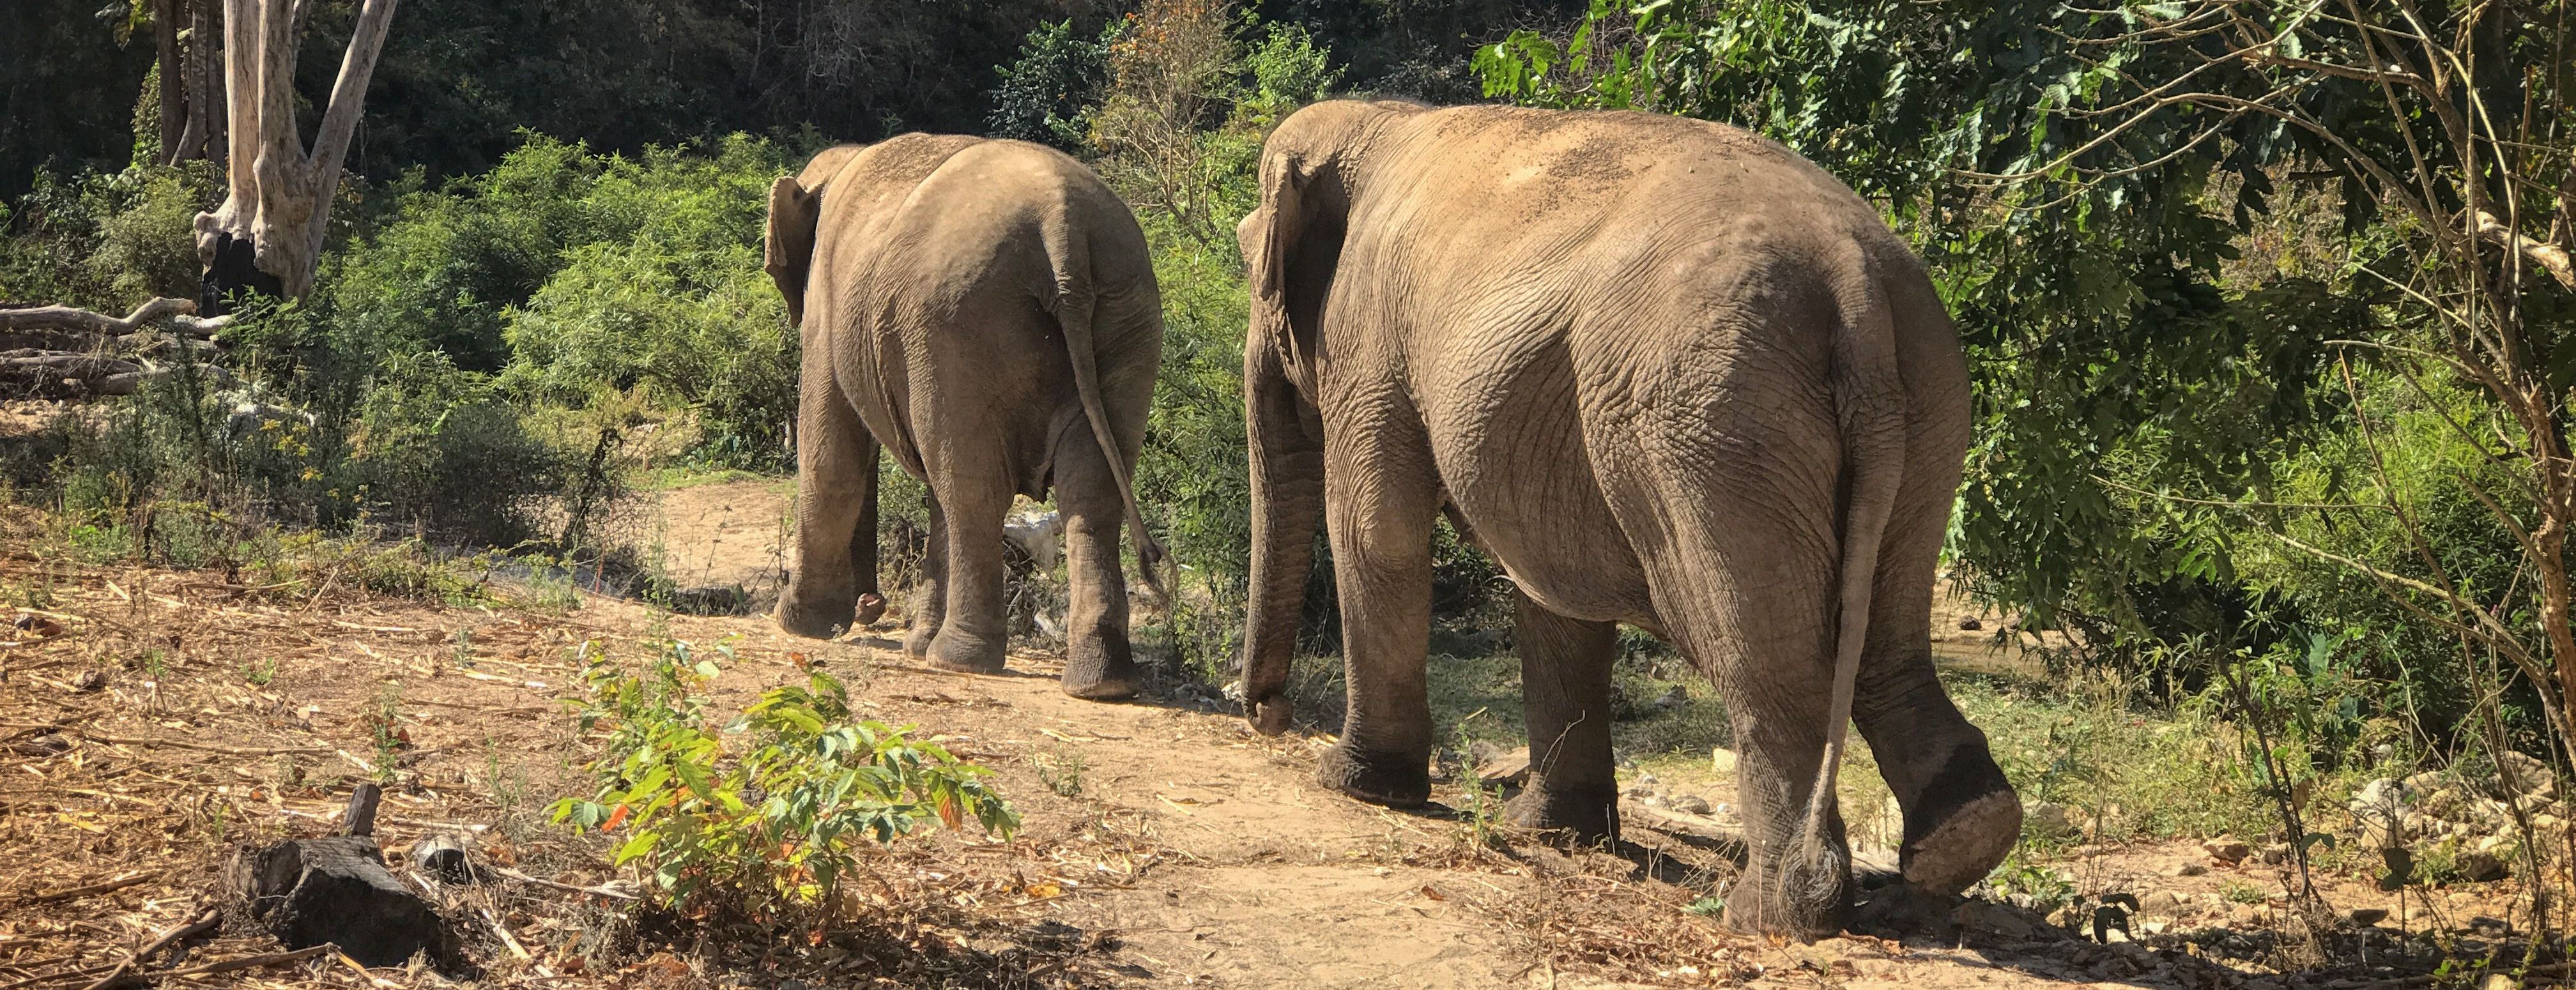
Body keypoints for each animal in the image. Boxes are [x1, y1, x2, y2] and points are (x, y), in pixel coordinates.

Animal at [762, 135, 1169, 701]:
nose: (869, 607)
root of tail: (1062, 224)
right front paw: (909, 644)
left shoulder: (827, 303)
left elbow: (830, 456)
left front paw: (797, 625)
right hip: (1128, 313)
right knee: (1088, 491)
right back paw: (1101, 683)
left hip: (960, 318)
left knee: (973, 490)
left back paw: (958, 660)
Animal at [1236, 102, 2020, 943]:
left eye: (1252, 271)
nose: (1269, 712)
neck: (1379, 119)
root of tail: (1857, 285)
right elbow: (1549, 581)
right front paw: (1552, 832)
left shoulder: (1369, 336)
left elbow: (1377, 532)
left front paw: (1353, 785)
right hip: (1929, 402)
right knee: (1883, 635)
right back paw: (1961, 839)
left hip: (1706, 420)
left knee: (1757, 649)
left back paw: (1772, 911)